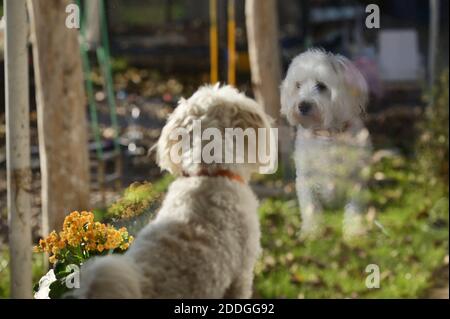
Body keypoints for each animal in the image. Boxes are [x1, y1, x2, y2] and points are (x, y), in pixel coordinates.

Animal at [282, 48, 372, 240]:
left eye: (321, 86)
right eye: (298, 85)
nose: (303, 105)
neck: (328, 135)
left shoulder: (356, 179)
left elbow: (354, 209)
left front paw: (354, 231)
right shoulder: (306, 178)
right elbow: (310, 207)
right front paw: (311, 231)